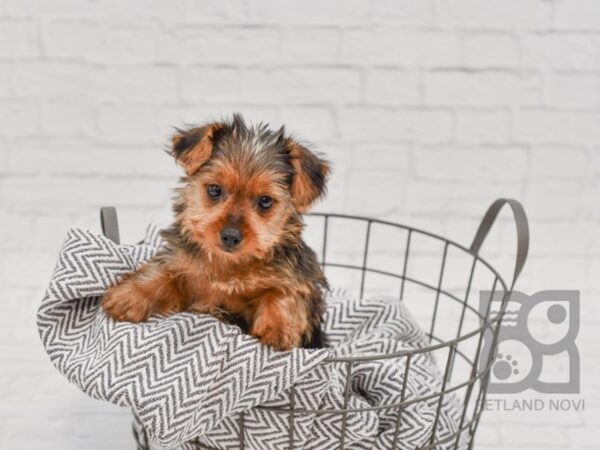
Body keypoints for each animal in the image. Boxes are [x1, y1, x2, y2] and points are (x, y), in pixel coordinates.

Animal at [101, 114, 330, 350]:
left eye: (265, 201)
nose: (231, 236)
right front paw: (128, 296)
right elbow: (161, 273)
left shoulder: (298, 278)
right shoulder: (182, 267)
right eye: (214, 189)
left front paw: (278, 329)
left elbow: (282, 293)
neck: (227, 265)